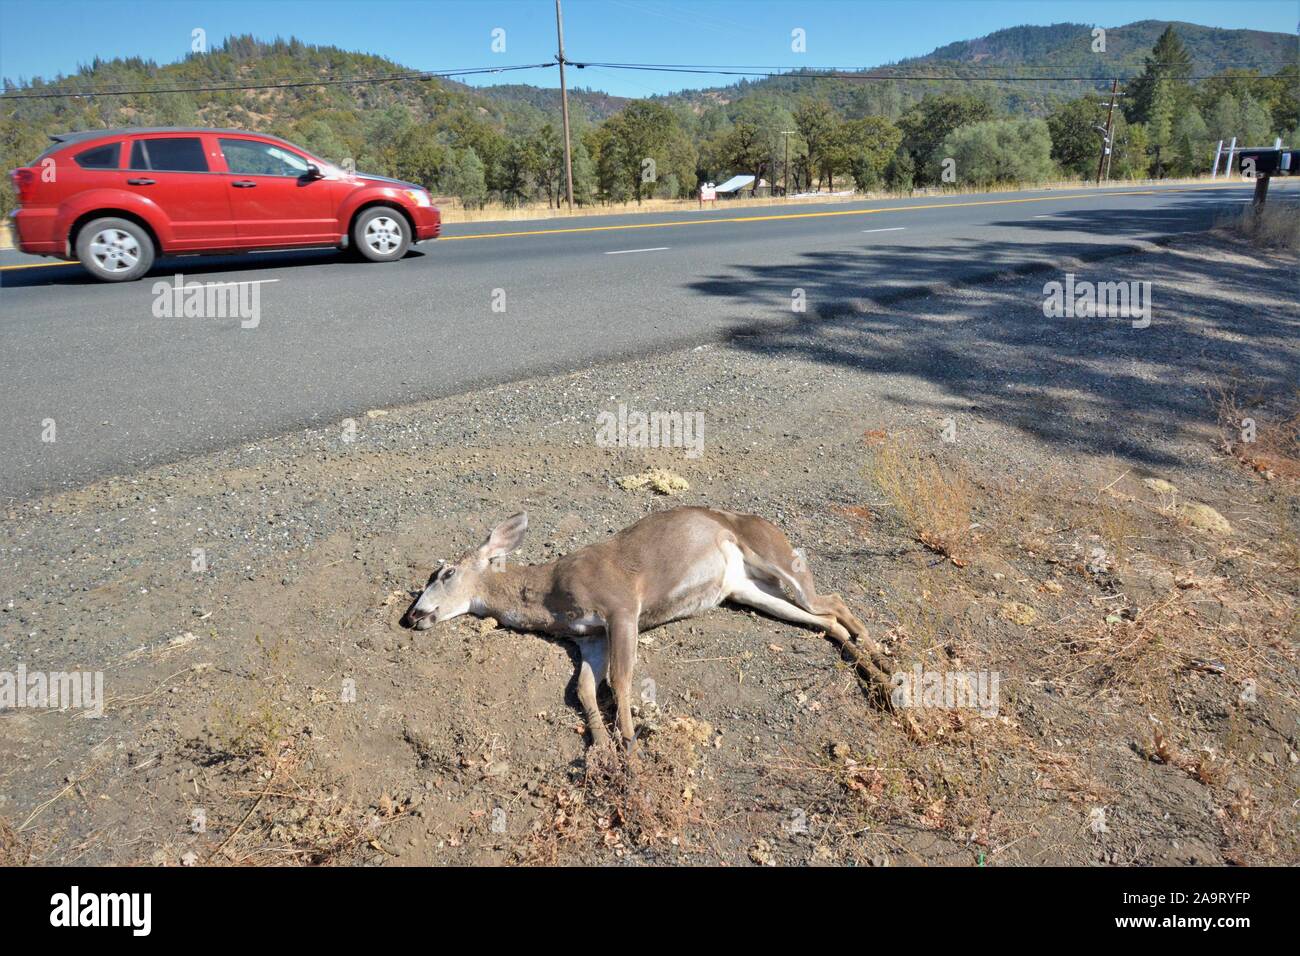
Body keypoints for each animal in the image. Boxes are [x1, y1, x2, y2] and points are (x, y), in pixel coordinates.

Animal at [401, 506, 900, 749]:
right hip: (745, 589)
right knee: (827, 620)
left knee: (832, 601)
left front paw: (630, 746)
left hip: (775, 557)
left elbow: (621, 680)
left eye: (445, 573)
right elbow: (584, 690)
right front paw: (601, 749)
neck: (549, 594)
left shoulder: (622, 606)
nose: (414, 616)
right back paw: (880, 679)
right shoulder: (589, 637)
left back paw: (888, 669)